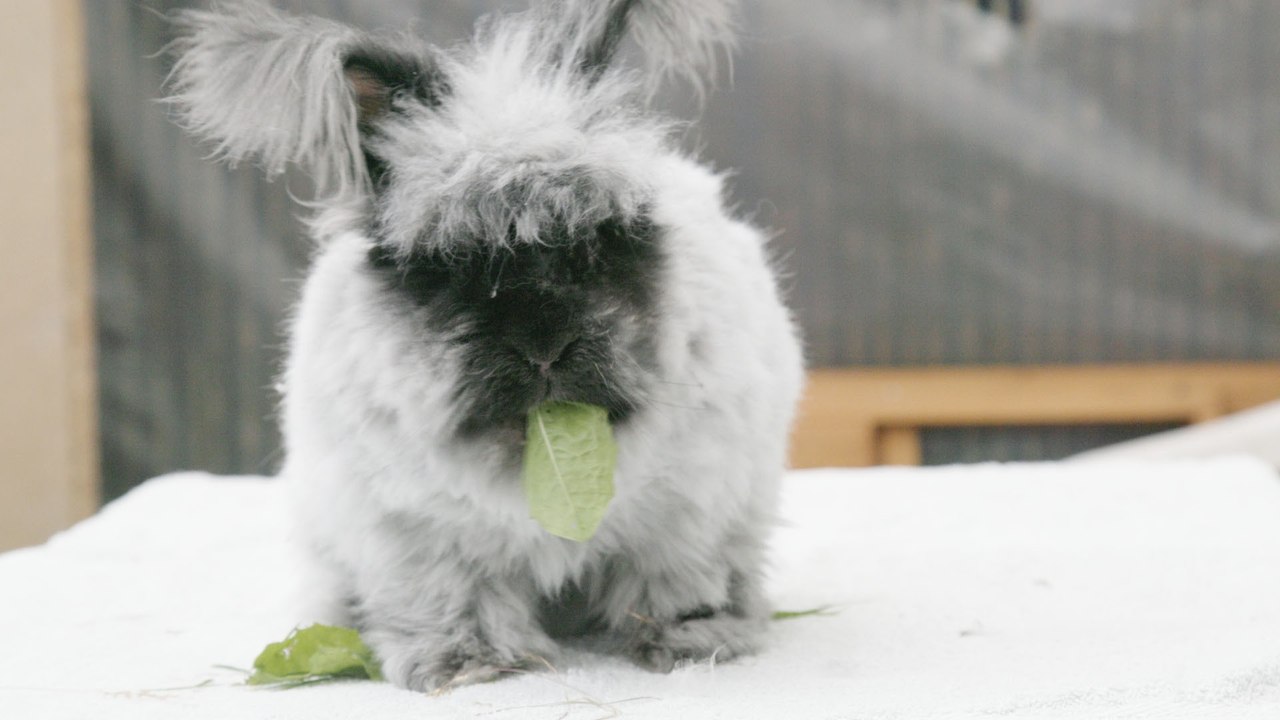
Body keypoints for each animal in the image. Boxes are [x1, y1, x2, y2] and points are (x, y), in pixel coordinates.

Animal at [165, 0, 804, 692]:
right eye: (452, 266)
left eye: (597, 245)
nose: (545, 348)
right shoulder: (419, 537)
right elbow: (454, 597)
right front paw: (469, 667)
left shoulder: (691, 516)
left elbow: (677, 582)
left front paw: (692, 645)